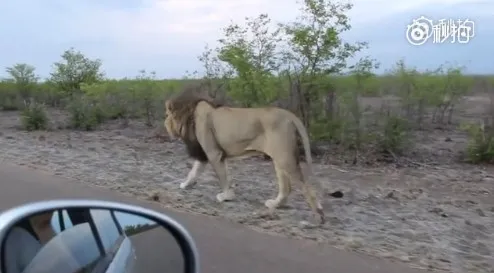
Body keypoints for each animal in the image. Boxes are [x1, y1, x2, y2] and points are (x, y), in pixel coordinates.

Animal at [164, 87, 326, 223]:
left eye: (167, 115)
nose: (165, 123)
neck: (190, 114)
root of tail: (288, 114)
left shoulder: (214, 153)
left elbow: (222, 177)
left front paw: (226, 196)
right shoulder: (205, 153)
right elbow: (195, 172)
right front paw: (185, 184)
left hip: (285, 158)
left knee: (305, 186)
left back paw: (319, 216)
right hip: (279, 158)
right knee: (286, 187)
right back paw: (275, 204)